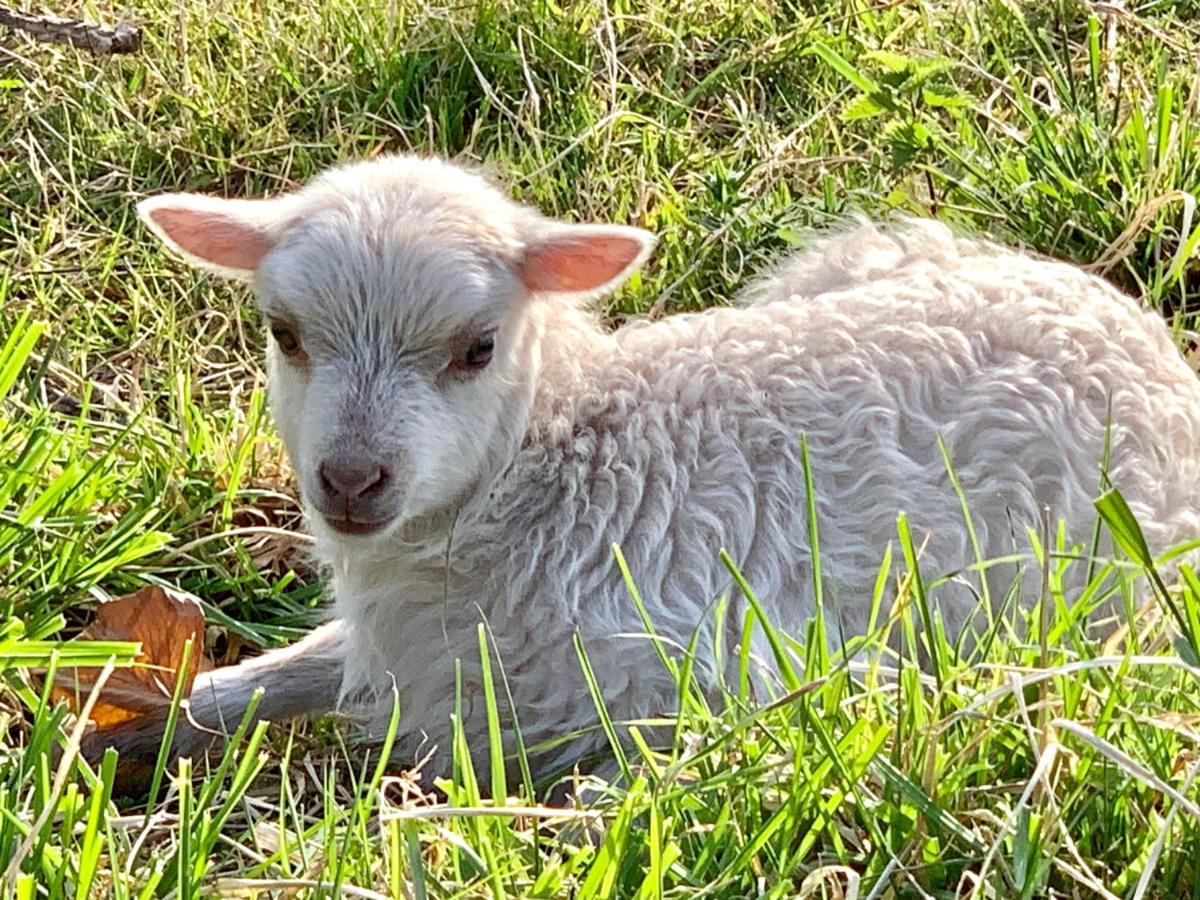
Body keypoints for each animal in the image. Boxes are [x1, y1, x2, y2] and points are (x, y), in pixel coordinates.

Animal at [98, 157, 1200, 787]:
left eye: (478, 347)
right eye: (284, 332)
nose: (351, 481)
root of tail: (1140, 330)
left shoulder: (724, 679)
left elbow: (656, 783)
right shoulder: (402, 648)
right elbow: (273, 676)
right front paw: (116, 728)